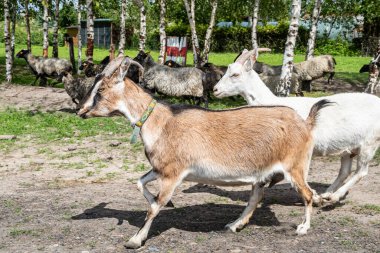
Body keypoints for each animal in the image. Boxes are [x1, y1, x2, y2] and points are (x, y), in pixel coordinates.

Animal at [78, 56, 330, 249]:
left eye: (101, 89)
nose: (80, 111)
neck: (161, 122)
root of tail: (305, 123)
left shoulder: (172, 173)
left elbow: (154, 207)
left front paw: (135, 239)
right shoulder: (160, 168)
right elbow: (140, 184)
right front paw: (166, 204)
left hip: (295, 166)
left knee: (307, 193)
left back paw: (303, 227)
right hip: (265, 171)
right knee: (256, 196)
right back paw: (234, 225)